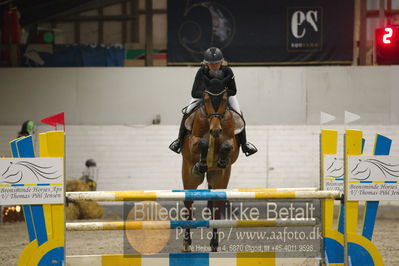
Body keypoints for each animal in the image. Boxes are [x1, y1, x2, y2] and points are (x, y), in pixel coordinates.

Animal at [180, 76, 241, 251]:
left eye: (225, 99)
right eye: (206, 99)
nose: (216, 130)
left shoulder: (232, 144)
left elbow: (227, 146)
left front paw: (221, 159)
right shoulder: (192, 142)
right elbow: (202, 143)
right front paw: (201, 163)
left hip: (219, 179)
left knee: (216, 209)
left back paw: (214, 244)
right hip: (189, 178)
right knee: (188, 206)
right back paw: (186, 243)